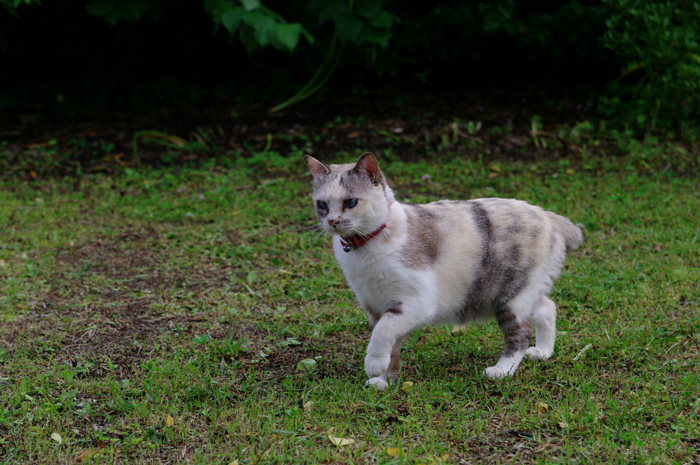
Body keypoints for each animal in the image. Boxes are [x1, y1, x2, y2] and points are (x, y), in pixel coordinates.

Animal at [304, 152, 584, 388]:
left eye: (351, 202)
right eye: (322, 205)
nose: (333, 221)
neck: (364, 249)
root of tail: (547, 215)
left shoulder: (413, 304)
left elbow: (382, 334)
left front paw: (374, 364)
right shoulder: (376, 306)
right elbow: (390, 345)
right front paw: (385, 381)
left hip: (510, 298)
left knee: (520, 336)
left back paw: (501, 370)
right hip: (518, 293)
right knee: (547, 307)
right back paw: (543, 352)